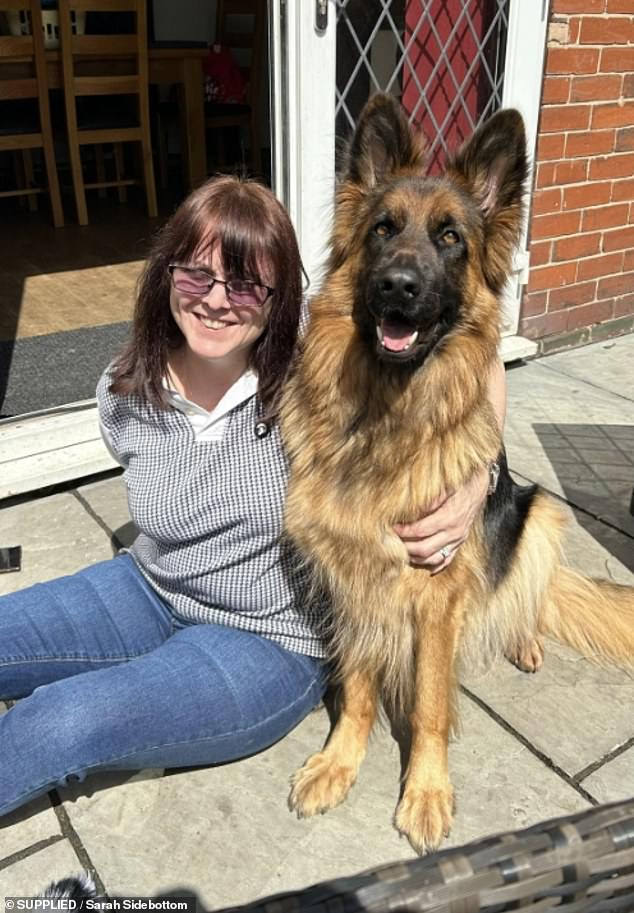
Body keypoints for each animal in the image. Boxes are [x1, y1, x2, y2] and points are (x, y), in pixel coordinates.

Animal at [280, 96, 632, 852]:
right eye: (383, 229)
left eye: (449, 238)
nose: (397, 286)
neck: (386, 418)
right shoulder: (351, 577)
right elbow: (357, 689)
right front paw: (339, 762)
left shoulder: (436, 595)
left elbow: (431, 705)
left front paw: (426, 791)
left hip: (541, 511)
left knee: (527, 594)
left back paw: (523, 637)